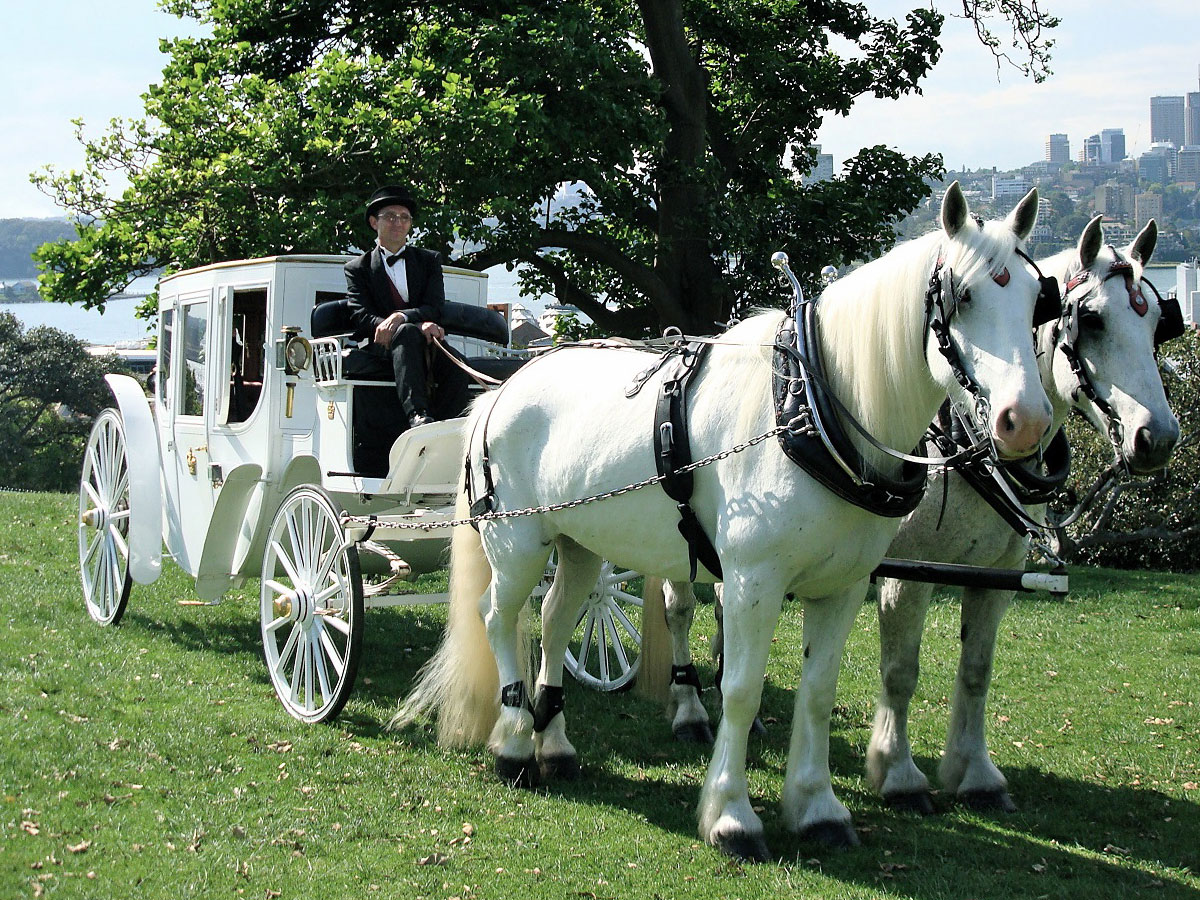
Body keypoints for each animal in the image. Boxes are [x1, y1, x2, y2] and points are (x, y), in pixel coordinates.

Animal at [391, 181, 1051, 859]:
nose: (1025, 422)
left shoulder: (841, 586)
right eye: (962, 296)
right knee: (499, 616)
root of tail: (502, 389)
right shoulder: (752, 581)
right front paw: (731, 814)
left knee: (552, 620)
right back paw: (516, 741)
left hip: (578, 542)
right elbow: (740, 688)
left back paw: (555, 744)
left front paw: (817, 808)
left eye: (1037, 301)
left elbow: (818, 692)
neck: (809, 408)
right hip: (519, 540)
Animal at [868, 214, 1176, 816]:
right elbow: (900, 671)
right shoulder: (908, 574)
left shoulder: (999, 575)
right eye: (1093, 320)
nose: (1157, 437)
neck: (962, 439)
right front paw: (899, 774)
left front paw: (976, 775)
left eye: (1155, 323)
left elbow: (976, 671)